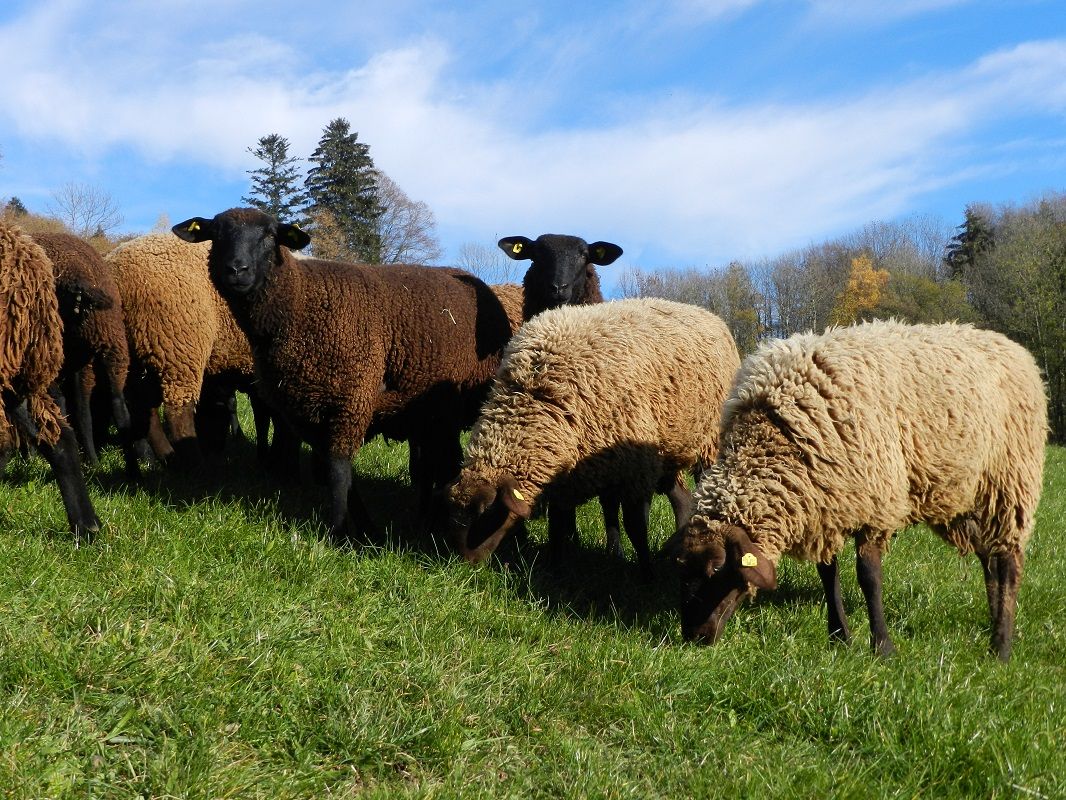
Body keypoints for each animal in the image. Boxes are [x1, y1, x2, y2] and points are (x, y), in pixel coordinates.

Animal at [31, 232, 141, 477]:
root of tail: (79, 278)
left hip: (54, 348)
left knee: (63, 401)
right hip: (108, 343)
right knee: (109, 405)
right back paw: (118, 468)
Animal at [104, 233, 270, 466]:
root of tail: (116, 270)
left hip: (135, 351)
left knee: (140, 404)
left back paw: (163, 457)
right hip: (177, 345)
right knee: (177, 412)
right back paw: (194, 464)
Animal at [172, 208, 514, 541]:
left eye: (269, 236)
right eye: (216, 234)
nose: (236, 269)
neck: (299, 303)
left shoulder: (350, 399)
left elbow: (338, 471)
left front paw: (337, 534)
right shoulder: (303, 410)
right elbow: (337, 473)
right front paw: (366, 528)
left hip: (446, 410)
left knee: (442, 463)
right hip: (431, 414)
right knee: (435, 464)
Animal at [448, 297, 741, 579]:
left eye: (487, 513)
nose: (465, 565)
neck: (541, 398)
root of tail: (708, 314)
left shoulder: (636, 470)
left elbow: (636, 527)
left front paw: (647, 575)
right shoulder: (571, 474)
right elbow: (558, 523)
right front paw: (555, 568)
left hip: (708, 444)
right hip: (667, 450)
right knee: (682, 498)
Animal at [672, 320, 1047, 661]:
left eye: (717, 570)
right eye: (682, 570)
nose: (694, 636)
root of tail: (1014, 347)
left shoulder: (875, 506)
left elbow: (869, 577)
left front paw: (882, 648)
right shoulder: (825, 505)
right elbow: (828, 574)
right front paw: (839, 636)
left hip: (1011, 482)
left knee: (1010, 562)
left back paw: (1001, 647)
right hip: (971, 495)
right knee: (990, 559)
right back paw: (996, 620)